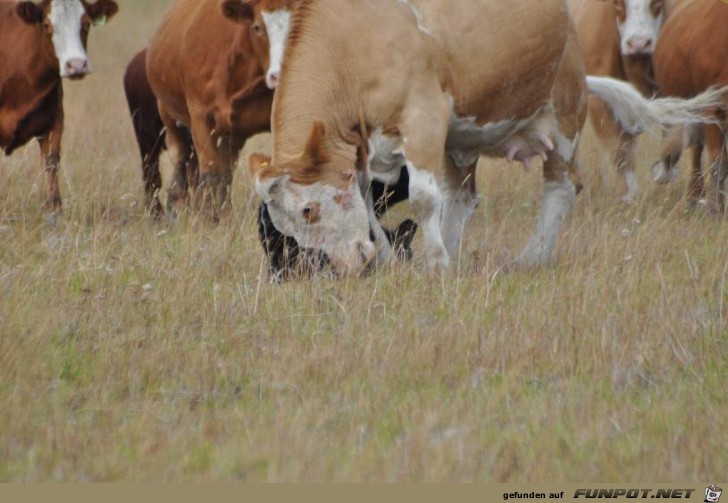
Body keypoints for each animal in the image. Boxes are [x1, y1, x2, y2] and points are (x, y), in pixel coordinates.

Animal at [146, 0, 298, 220]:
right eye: (257, 27)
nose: (280, 75)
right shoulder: (200, 117)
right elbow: (211, 172)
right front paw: (211, 218)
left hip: (233, 133)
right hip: (168, 114)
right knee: (181, 156)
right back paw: (176, 205)